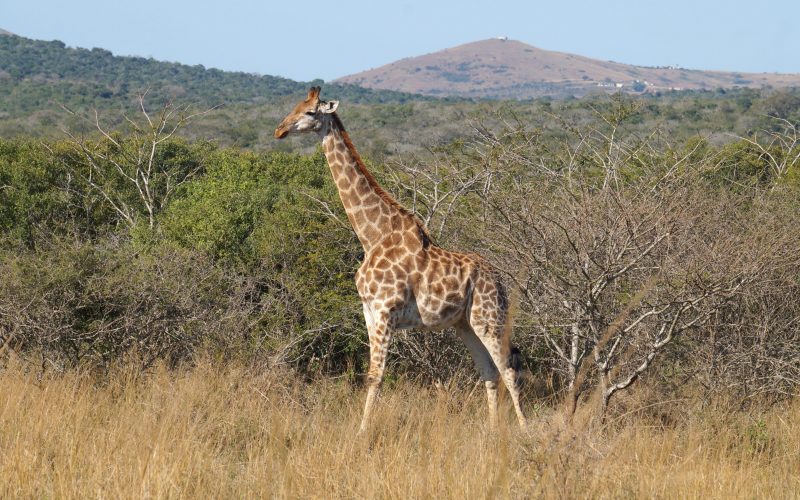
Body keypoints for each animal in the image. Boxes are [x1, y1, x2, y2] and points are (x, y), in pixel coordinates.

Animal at [276, 86, 532, 430]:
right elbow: (372, 374)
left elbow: (375, 376)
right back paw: (491, 432)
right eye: (295, 106)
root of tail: (501, 280)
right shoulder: (369, 311)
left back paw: (525, 430)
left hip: (489, 317)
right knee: (489, 371)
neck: (373, 235)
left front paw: (362, 431)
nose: (280, 130)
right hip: (465, 324)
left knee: (509, 370)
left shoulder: (385, 310)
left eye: (310, 112)